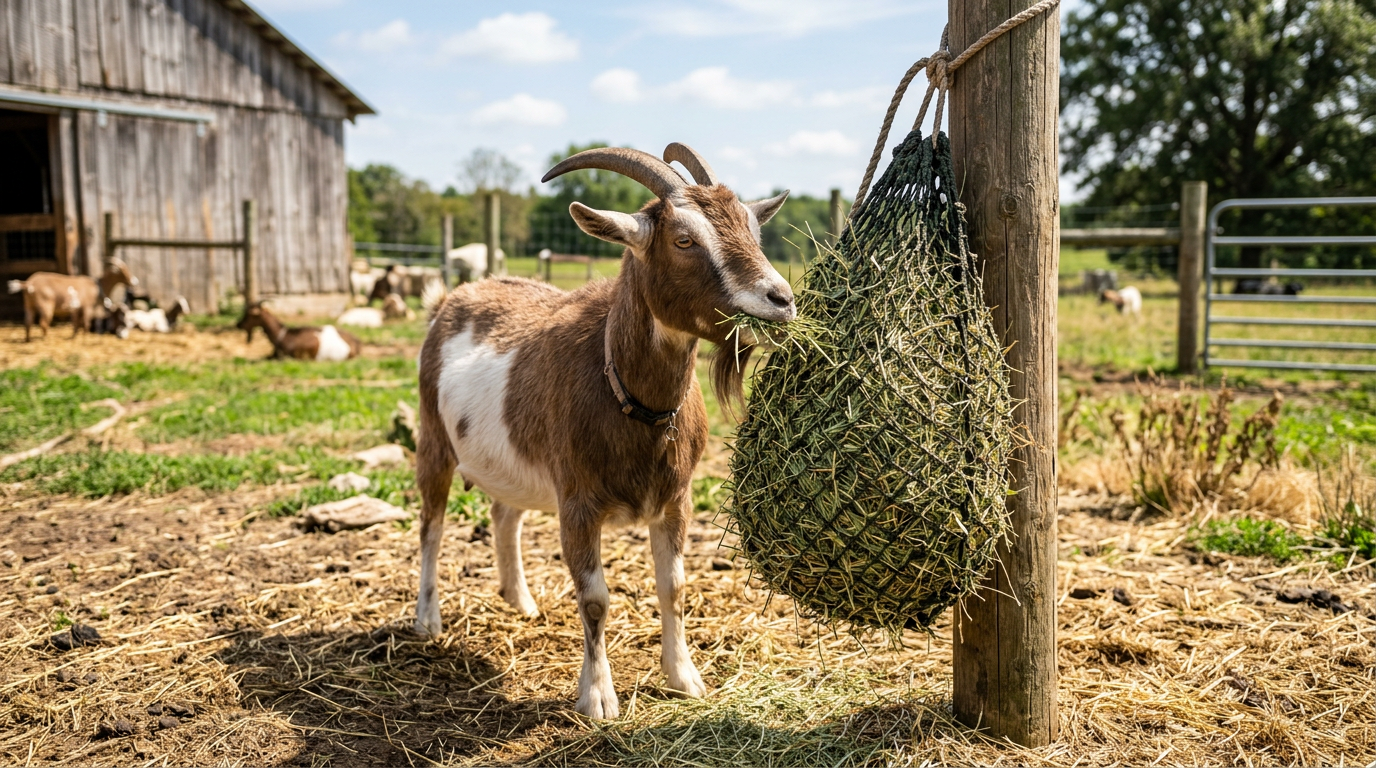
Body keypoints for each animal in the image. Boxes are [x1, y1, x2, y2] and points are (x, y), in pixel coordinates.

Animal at [7, 259, 137, 342]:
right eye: (123, 272)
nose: (134, 281)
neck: (97, 285)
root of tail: (28, 283)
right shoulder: (87, 307)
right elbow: (86, 323)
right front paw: (85, 338)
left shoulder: (76, 309)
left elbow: (76, 323)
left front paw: (75, 336)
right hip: (45, 305)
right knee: (43, 323)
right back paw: (46, 339)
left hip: (29, 305)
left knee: (28, 322)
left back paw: (28, 340)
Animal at [414, 143, 794, 719]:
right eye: (684, 239)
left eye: (754, 229)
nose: (781, 299)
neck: (631, 398)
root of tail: (449, 301)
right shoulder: (578, 502)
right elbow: (594, 598)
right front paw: (597, 697)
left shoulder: (676, 498)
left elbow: (674, 586)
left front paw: (684, 678)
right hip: (434, 439)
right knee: (431, 526)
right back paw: (427, 621)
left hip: (511, 460)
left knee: (505, 513)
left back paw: (520, 600)